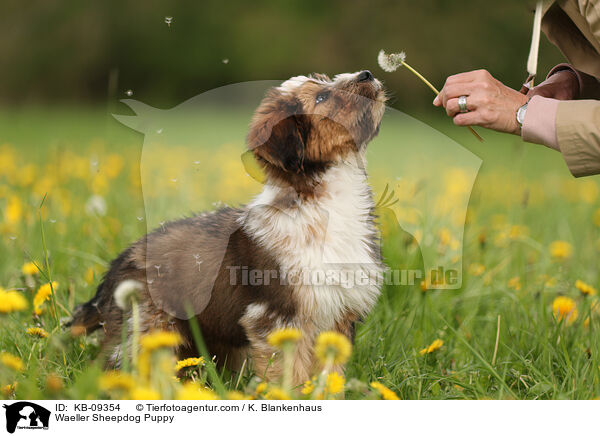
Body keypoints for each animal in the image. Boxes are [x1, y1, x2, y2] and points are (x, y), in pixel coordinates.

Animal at [69, 69, 390, 384]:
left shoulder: (338, 318)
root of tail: (114, 269)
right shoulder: (276, 317)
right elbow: (288, 375)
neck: (324, 201)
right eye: (322, 97)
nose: (366, 73)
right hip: (147, 328)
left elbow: (329, 375)